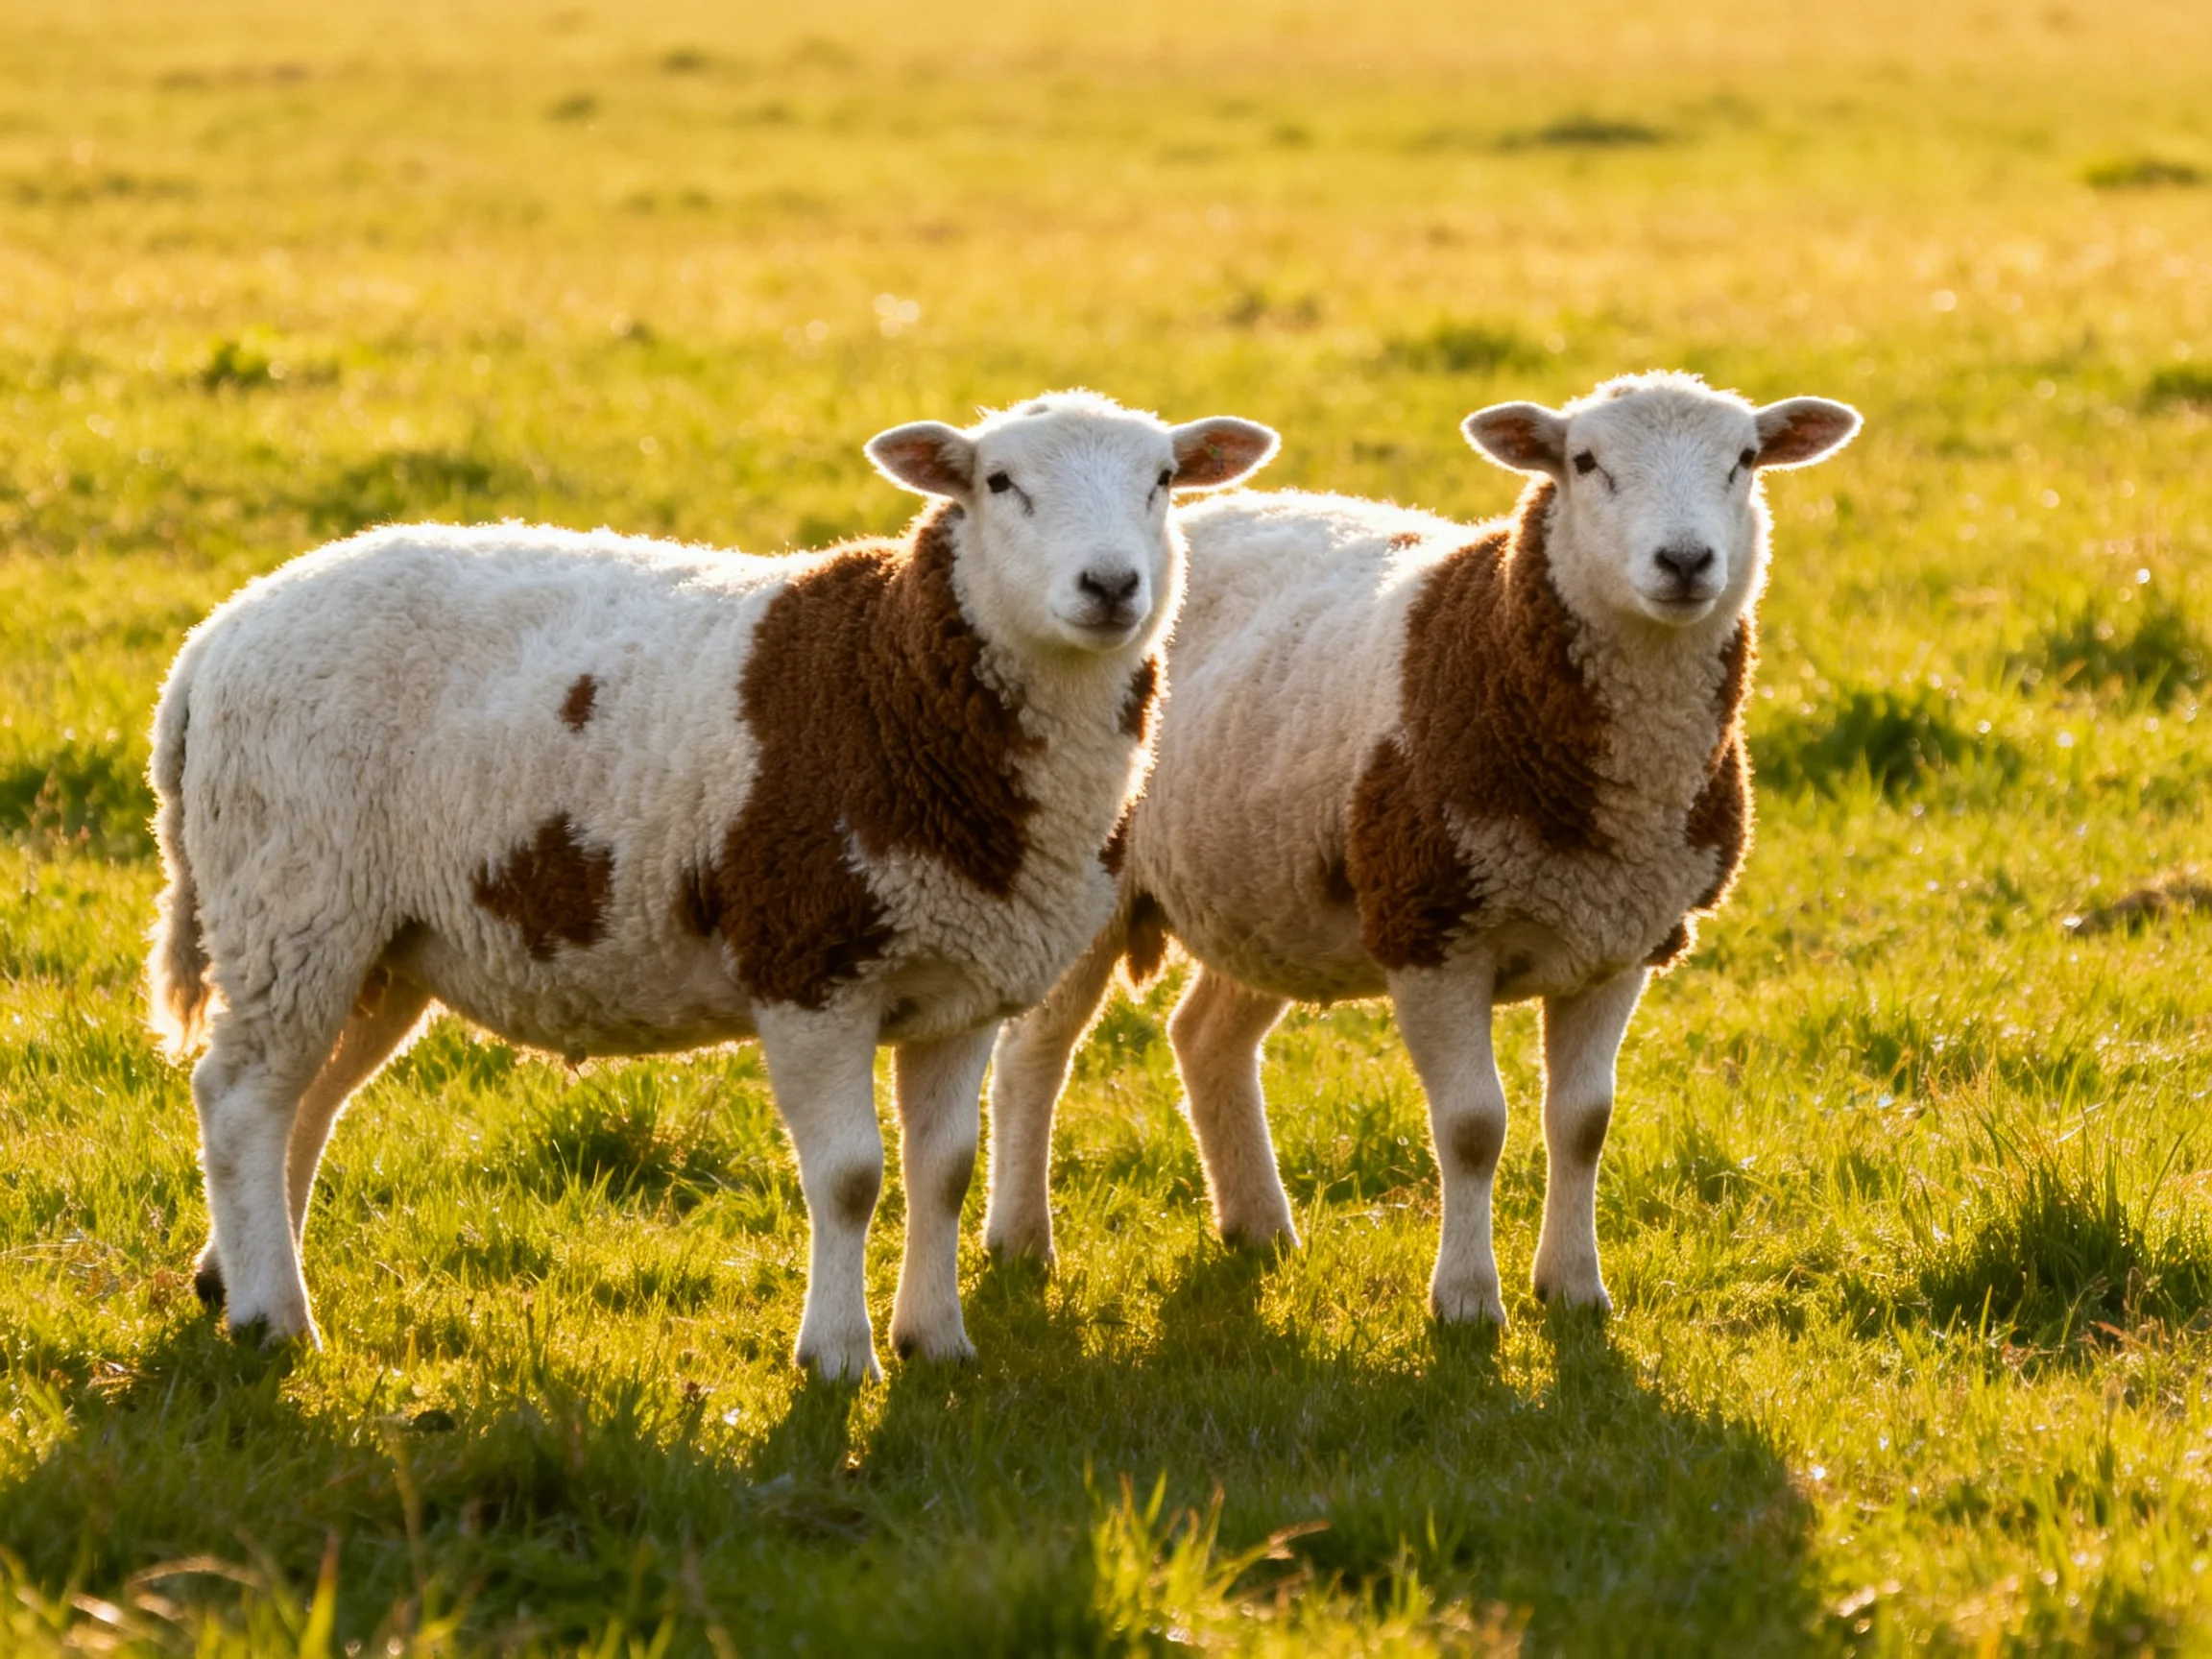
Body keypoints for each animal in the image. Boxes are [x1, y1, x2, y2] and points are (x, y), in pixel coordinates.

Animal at [146, 390, 1279, 1379]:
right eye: (1000, 483)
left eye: (1163, 480)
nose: (1111, 586)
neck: (898, 677)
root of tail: (215, 637)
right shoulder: (810, 963)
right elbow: (851, 1178)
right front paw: (838, 1359)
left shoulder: (964, 981)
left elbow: (945, 1172)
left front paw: (936, 1345)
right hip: (292, 897)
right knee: (239, 1097)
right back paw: (274, 1320)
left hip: (375, 938)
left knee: (303, 1099)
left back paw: (235, 1280)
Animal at [983, 372, 1859, 1325]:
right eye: (1586, 462)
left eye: (1745, 460)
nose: (1687, 561)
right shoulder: (1433, 930)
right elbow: (1473, 1128)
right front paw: (1469, 1302)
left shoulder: (1620, 940)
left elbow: (1584, 1123)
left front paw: (1575, 1290)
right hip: (1092, 878)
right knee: (1034, 1053)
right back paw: (1020, 1242)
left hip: (1268, 892)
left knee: (1204, 1036)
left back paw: (1258, 1227)